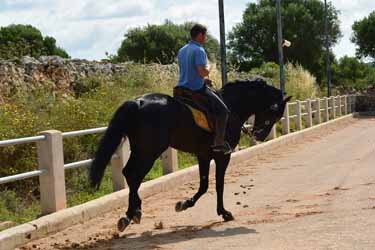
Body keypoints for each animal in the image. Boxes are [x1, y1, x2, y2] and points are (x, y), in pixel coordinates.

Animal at [89, 79, 292, 231]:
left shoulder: (203, 155)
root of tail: (137, 102)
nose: (260, 135)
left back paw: (133, 213)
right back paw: (132, 214)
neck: (232, 106)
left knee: (129, 174)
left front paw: (184, 204)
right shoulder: (222, 156)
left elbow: (204, 184)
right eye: (275, 112)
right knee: (133, 175)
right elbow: (218, 184)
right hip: (149, 152)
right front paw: (224, 212)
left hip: (141, 149)